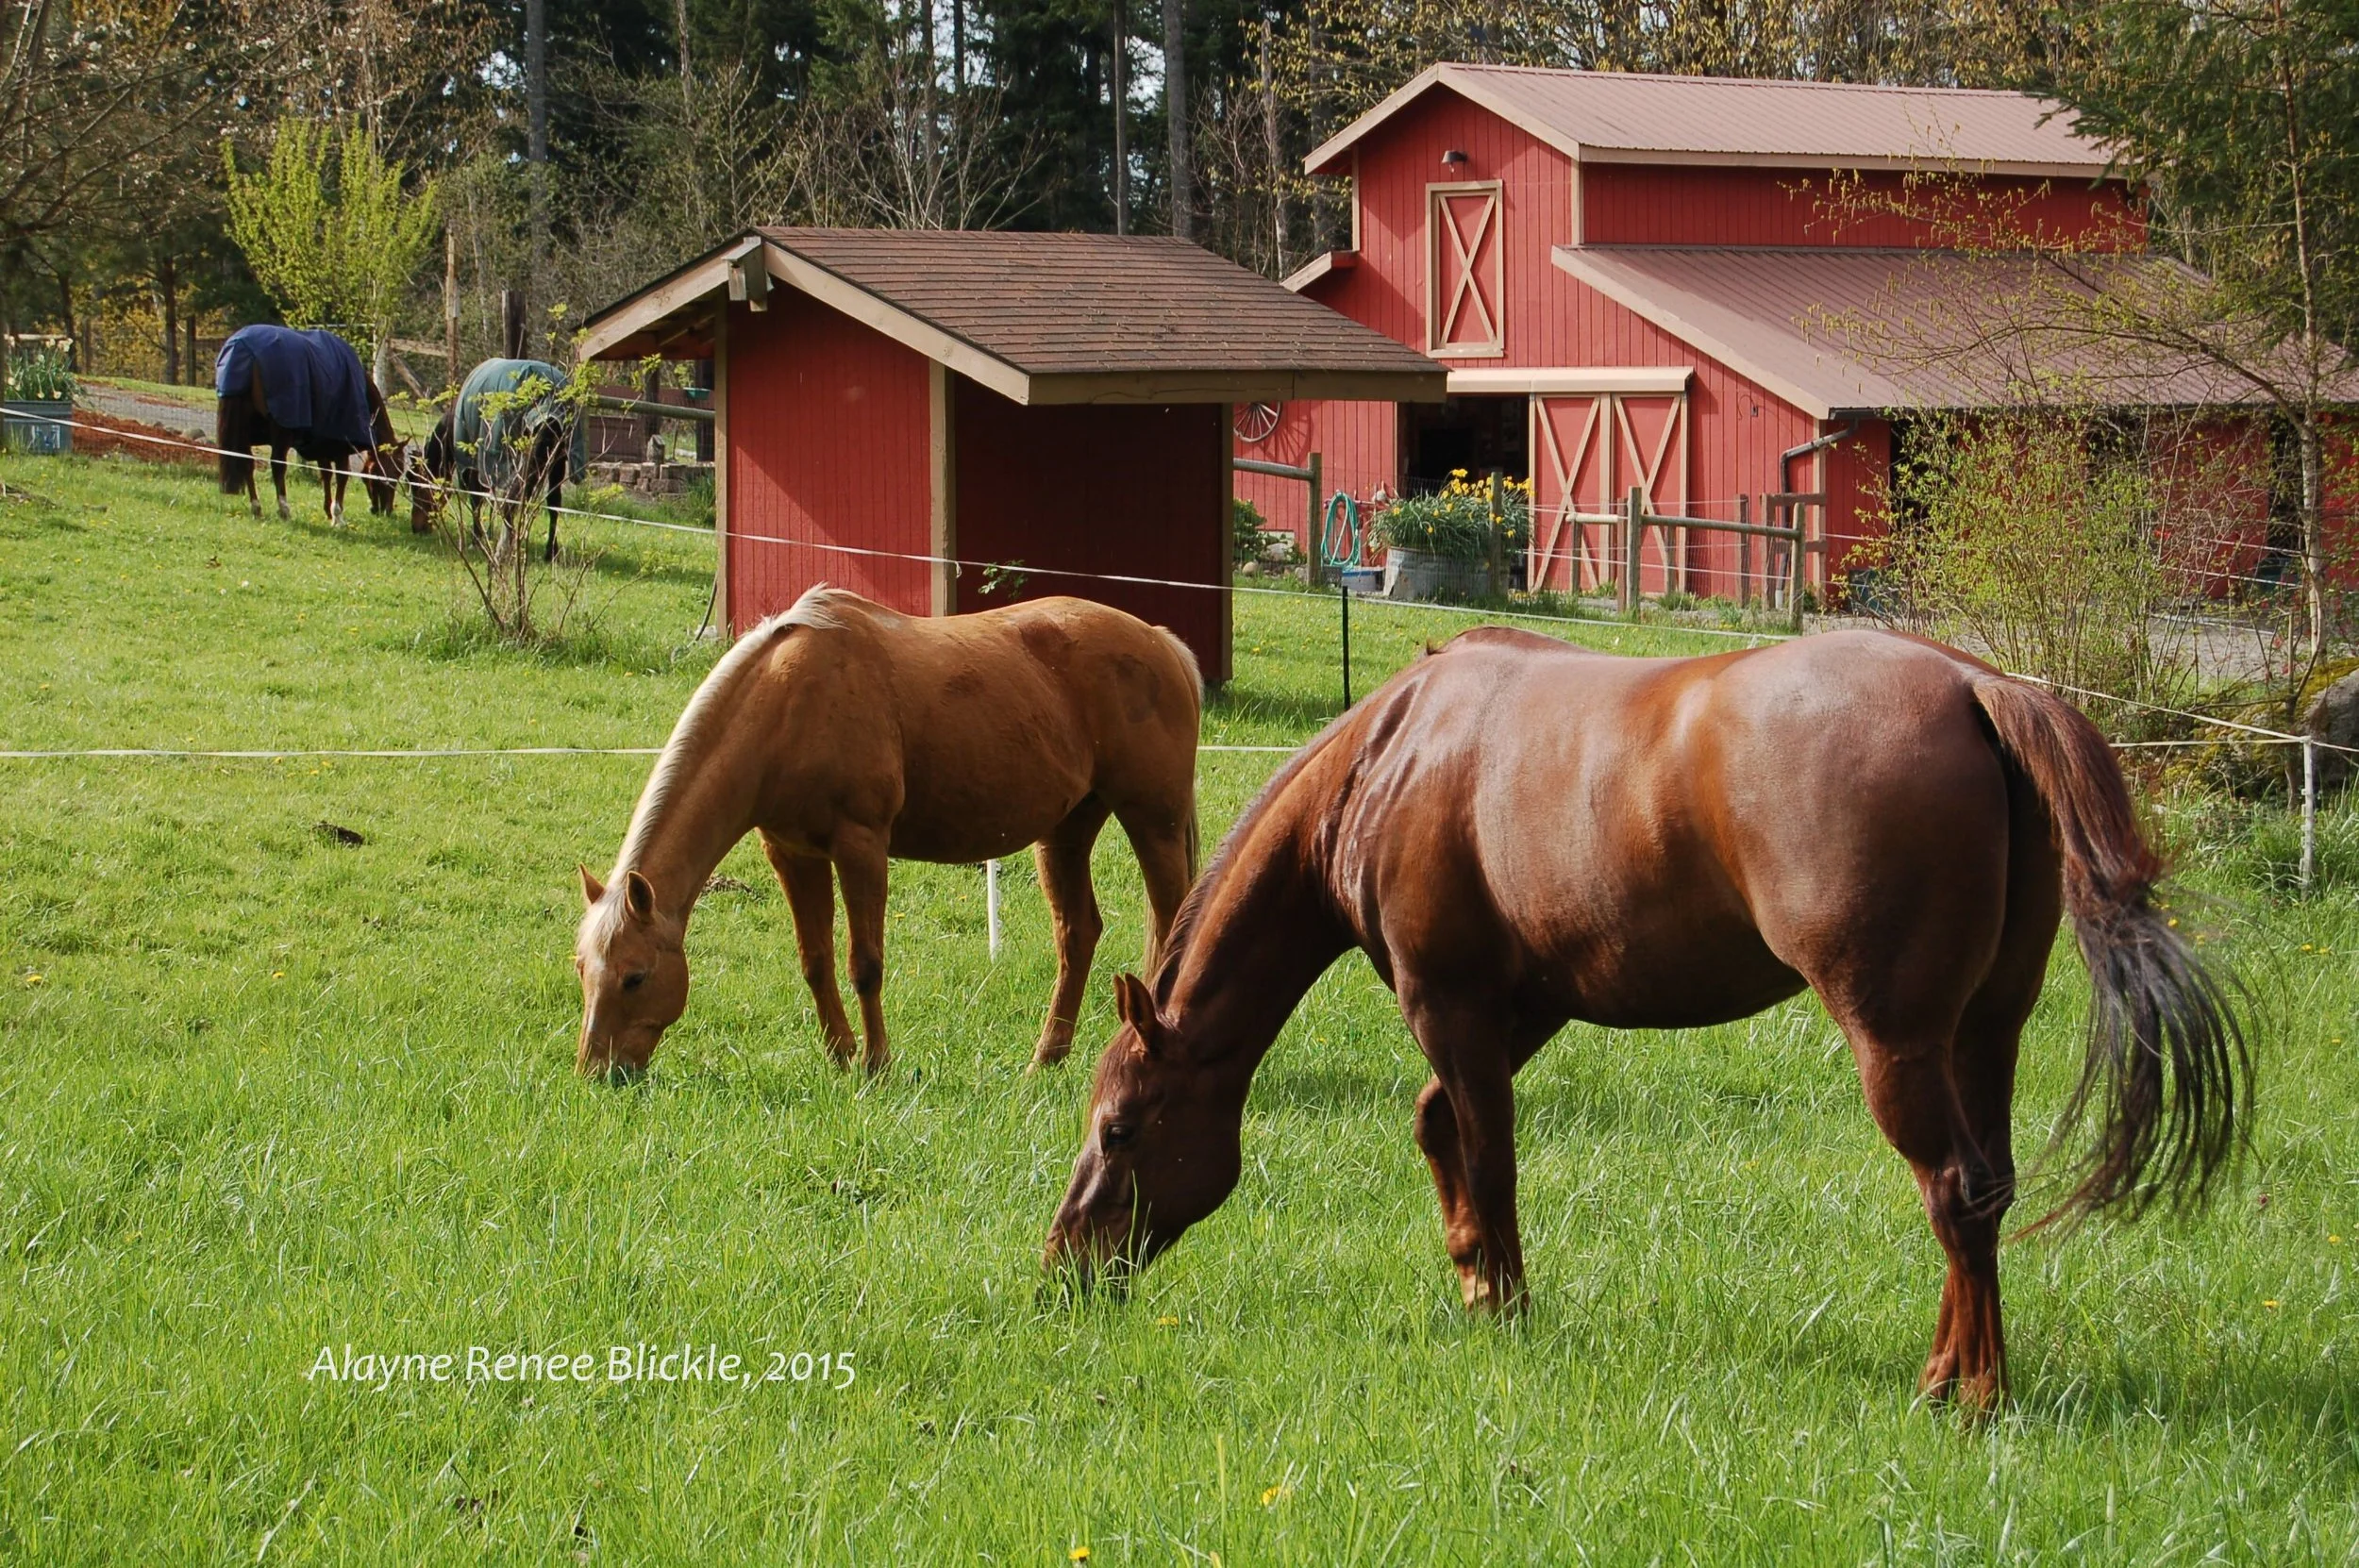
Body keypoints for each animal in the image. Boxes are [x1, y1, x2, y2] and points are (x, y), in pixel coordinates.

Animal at [214, 326, 400, 523]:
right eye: (396, 473)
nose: (387, 510)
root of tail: (243, 349)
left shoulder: (322, 441)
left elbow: (326, 474)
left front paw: (328, 510)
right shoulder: (341, 443)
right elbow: (342, 475)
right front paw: (337, 516)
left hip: (245, 430)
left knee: (247, 462)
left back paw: (256, 508)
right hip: (281, 431)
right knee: (277, 466)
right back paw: (284, 509)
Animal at [411, 359, 582, 560]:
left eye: (417, 487)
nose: (416, 528)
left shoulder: (474, 463)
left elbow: (476, 497)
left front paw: (477, 540)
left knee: (515, 497)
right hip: (556, 460)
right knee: (552, 502)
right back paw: (549, 551)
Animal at [574, 587, 1203, 1080]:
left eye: (635, 977)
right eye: (582, 969)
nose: (598, 1072)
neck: (789, 702)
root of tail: (1161, 642)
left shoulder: (861, 846)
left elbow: (865, 963)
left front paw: (876, 1064)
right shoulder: (792, 852)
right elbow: (815, 959)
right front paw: (839, 1055)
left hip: (1154, 822)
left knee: (1171, 918)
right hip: (1066, 832)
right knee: (1077, 933)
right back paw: (1044, 1059)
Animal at [1043, 626, 2247, 1412]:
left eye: (1119, 1129)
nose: (1064, 1266)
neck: (1392, 755)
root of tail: (1974, 687)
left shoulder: (1449, 1000)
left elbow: (1486, 1149)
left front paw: (1505, 1301)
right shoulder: (1523, 1006)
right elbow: (1442, 1127)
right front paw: (1475, 1276)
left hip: (1896, 1040)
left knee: (1950, 1191)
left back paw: (1966, 1391)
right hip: (1983, 1033)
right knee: (1985, 1190)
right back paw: (1964, 1372)